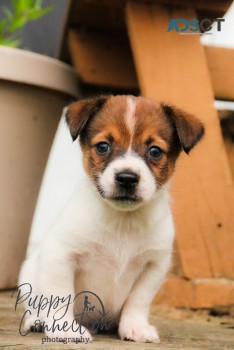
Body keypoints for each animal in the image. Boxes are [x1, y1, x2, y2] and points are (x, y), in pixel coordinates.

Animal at [18, 94, 204, 344]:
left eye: (155, 151)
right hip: (28, 274)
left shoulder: (154, 265)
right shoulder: (61, 255)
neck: (123, 221)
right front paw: (65, 330)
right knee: (35, 305)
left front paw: (135, 327)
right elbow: (61, 294)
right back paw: (36, 321)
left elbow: (138, 300)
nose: (126, 178)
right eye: (103, 146)